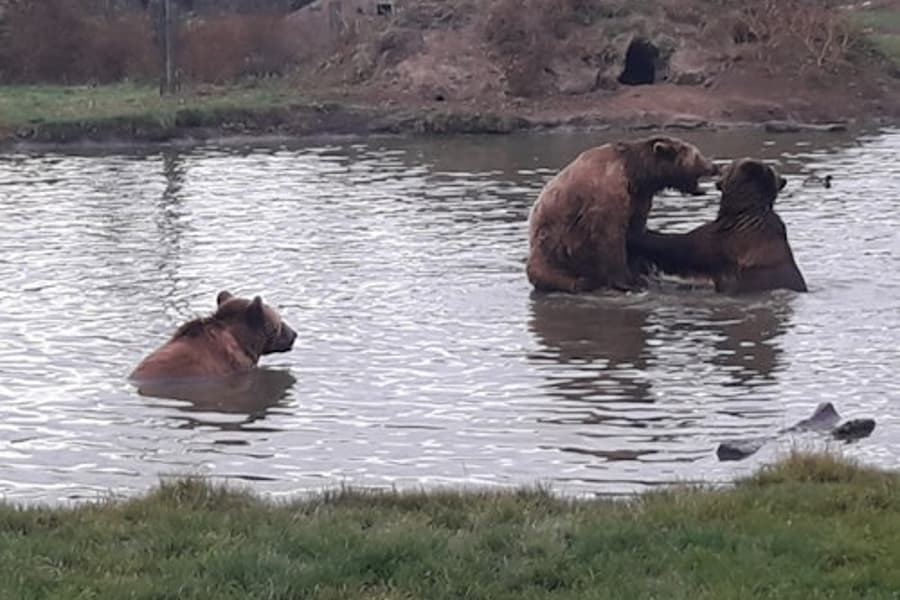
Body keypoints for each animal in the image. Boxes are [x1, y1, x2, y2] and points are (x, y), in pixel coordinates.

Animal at [526, 135, 718, 293]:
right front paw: (629, 282)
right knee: (550, 272)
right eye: (697, 155)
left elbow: (634, 233)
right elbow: (611, 236)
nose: (714, 166)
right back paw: (583, 282)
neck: (638, 175)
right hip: (551, 248)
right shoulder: (608, 194)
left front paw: (641, 273)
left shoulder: (639, 198)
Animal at [627, 158, 807, 294]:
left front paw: (637, 234)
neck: (745, 210)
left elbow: (681, 247)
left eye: (730, 166)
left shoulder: (720, 243)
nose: (719, 166)